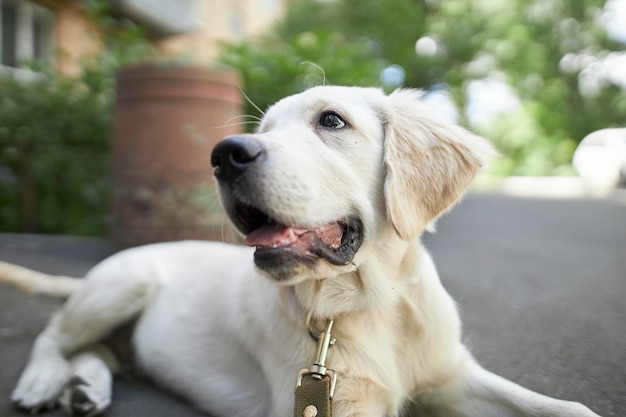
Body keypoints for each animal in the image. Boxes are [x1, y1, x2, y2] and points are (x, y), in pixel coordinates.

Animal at [0, 86, 600, 414]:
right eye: (262, 128)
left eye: (331, 120)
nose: (224, 155)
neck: (372, 306)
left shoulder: (452, 376)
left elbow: (567, 406)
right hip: (123, 284)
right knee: (55, 336)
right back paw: (44, 380)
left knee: (97, 352)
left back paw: (85, 386)